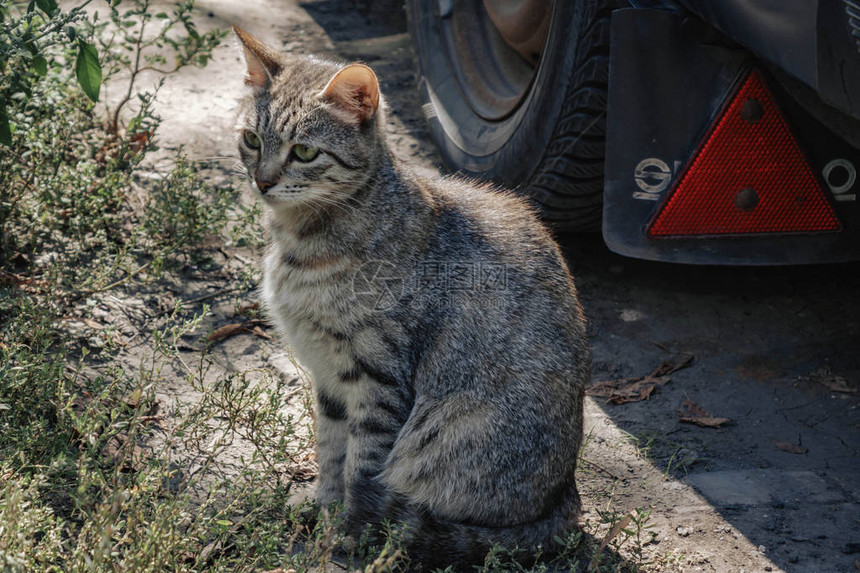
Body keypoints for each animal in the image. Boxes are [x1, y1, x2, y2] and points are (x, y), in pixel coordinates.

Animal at [232, 26, 588, 568]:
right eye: (251, 140)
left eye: (305, 153)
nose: (263, 180)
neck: (300, 240)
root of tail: (565, 496)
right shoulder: (329, 377)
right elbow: (330, 452)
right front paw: (325, 507)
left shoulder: (377, 376)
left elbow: (361, 465)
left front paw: (350, 531)